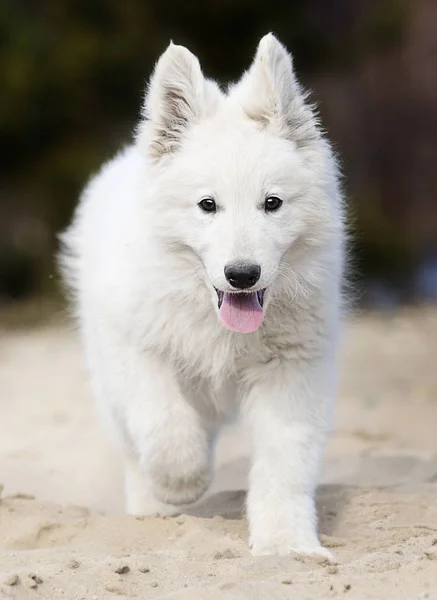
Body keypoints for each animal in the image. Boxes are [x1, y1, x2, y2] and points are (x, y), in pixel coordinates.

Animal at [58, 32, 344, 556]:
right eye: (207, 205)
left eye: (272, 203)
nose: (242, 274)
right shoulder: (135, 349)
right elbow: (164, 425)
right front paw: (181, 484)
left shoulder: (293, 371)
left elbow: (284, 464)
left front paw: (286, 545)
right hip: (107, 379)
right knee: (137, 451)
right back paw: (150, 512)